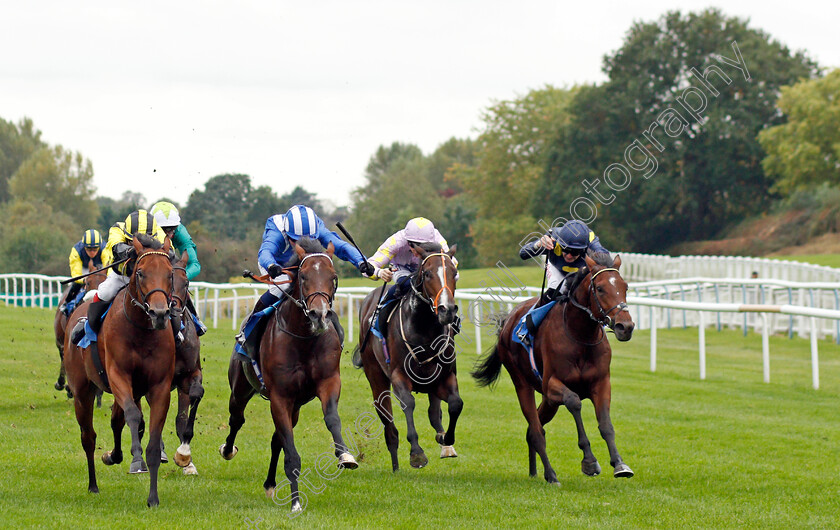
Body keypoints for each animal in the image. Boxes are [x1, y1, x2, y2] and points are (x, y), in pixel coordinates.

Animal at [65, 234, 177, 504]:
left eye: (170, 274)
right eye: (141, 273)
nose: (159, 313)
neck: (142, 331)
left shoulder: (159, 387)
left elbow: (152, 440)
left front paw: (153, 498)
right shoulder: (118, 376)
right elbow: (133, 417)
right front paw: (136, 460)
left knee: (117, 421)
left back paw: (113, 456)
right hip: (83, 392)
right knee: (88, 436)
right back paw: (93, 485)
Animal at [220, 238, 358, 512]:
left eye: (333, 276)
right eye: (303, 276)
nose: (318, 314)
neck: (304, 339)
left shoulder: (328, 382)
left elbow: (332, 418)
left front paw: (344, 455)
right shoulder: (280, 396)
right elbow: (291, 453)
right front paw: (295, 503)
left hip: (295, 406)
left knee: (277, 440)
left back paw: (270, 484)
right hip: (240, 389)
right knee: (237, 419)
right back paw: (228, 449)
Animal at [352, 241, 462, 468]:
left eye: (454, 273)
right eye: (427, 273)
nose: (447, 310)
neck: (424, 330)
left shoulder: (445, 376)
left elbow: (455, 404)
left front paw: (447, 439)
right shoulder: (398, 376)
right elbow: (408, 403)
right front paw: (417, 453)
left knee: (434, 413)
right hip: (376, 376)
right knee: (388, 424)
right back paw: (395, 466)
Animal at [472, 252, 636, 482]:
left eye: (625, 286)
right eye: (600, 288)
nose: (625, 327)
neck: (581, 337)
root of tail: (507, 322)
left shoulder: (601, 383)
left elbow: (606, 424)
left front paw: (620, 464)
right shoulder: (552, 385)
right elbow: (574, 402)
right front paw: (589, 461)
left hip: (549, 402)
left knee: (533, 428)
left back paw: (534, 472)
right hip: (522, 384)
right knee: (536, 430)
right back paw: (551, 475)